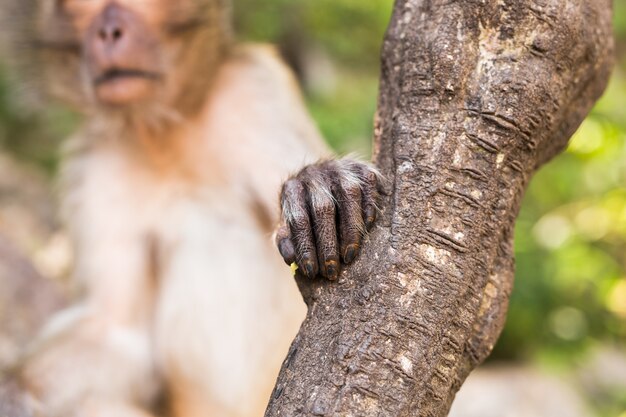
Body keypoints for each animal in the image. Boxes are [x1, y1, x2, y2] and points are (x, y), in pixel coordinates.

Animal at [0, 0, 380, 416]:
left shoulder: (254, 90)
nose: (108, 32)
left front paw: (319, 180)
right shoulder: (95, 162)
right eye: (81, 7)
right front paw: (13, 390)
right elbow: (116, 332)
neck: (165, 131)